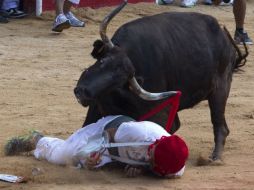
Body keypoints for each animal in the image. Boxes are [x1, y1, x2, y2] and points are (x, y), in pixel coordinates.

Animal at [73, 1, 248, 162]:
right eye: (102, 61)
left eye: (118, 83)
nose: (82, 92)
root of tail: (225, 39)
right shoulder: (96, 105)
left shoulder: (161, 112)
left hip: (220, 90)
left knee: (220, 125)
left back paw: (215, 157)